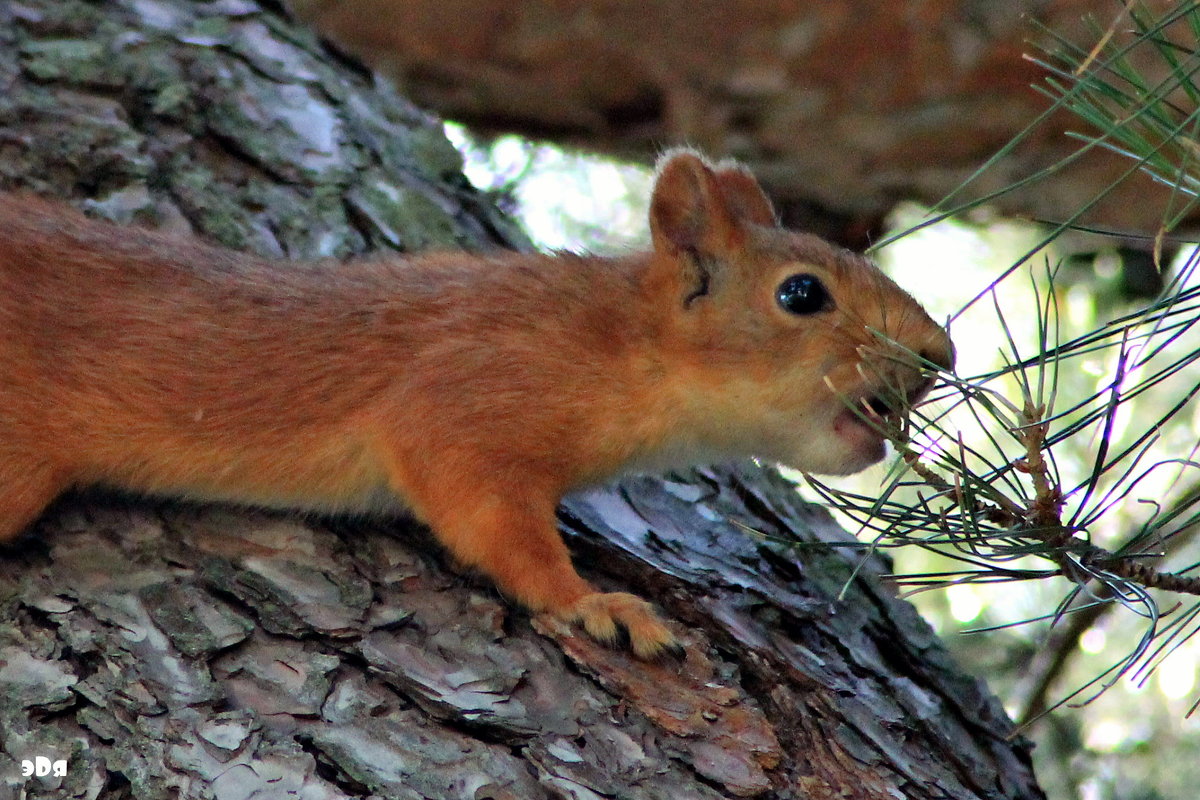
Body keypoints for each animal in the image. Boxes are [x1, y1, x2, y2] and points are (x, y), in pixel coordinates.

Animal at [0, 148, 955, 657]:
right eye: (802, 295)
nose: (941, 355)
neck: (611, 344)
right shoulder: (465, 393)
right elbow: (488, 513)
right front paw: (591, 603)